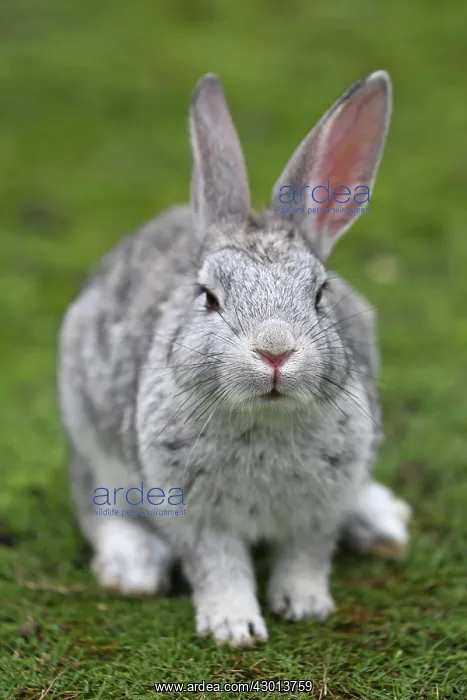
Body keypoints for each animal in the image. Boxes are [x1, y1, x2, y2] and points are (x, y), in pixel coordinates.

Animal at [58, 70, 411, 646]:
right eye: (208, 297)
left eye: (321, 293)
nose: (275, 351)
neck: (264, 420)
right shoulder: (193, 512)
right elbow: (220, 566)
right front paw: (234, 627)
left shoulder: (320, 511)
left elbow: (305, 557)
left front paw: (305, 605)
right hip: (88, 431)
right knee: (94, 504)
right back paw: (134, 567)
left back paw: (381, 521)